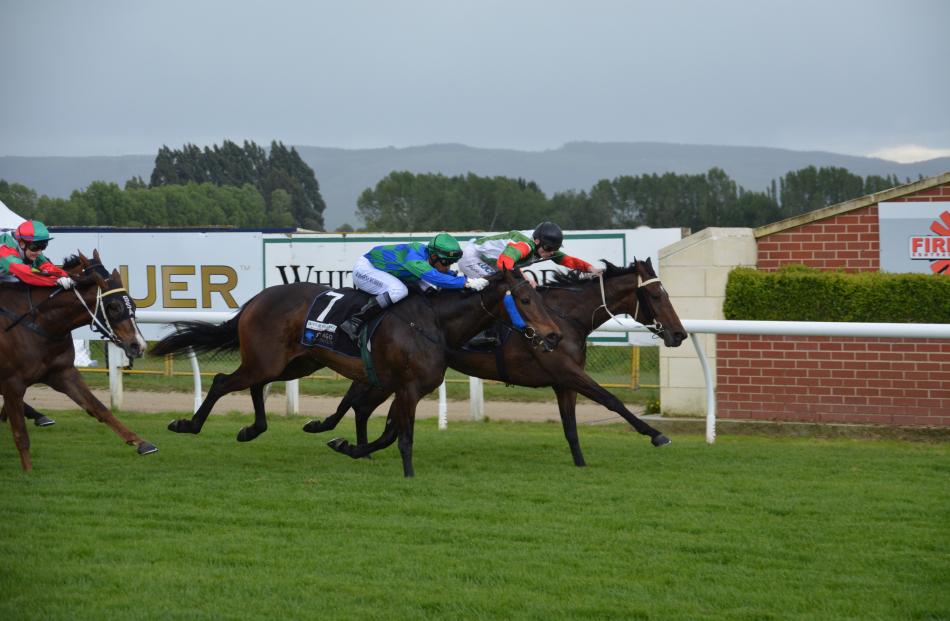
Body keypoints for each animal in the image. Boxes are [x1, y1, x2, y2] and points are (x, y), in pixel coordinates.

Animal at [0, 249, 156, 468]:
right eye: (113, 306)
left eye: (132, 303)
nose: (138, 345)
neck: (40, 321)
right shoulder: (12, 382)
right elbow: (21, 435)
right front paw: (28, 471)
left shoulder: (62, 372)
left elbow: (99, 408)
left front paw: (141, 443)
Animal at [150, 268, 560, 478]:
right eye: (525, 299)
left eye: (543, 298)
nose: (554, 334)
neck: (432, 323)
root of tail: (255, 300)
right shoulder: (408, 388)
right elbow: (400, 437)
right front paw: (407, 474)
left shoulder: (401, 387)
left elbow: (386, 432)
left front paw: (348, 445)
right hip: (268, 361)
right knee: (222, 382)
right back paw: (188, 424)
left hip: (294, 362)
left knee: (257, 386)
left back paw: (252, 429)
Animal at [308, 256, 688, 464]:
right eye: (657, 294)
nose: (679, 334)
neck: (565, 317)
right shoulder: (565, 371)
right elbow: (611, 400)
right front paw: (656, 434)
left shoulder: (563, 382)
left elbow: (571, 429)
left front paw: (581, 464)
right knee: (359, 402)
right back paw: (331, 431)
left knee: (363, 405)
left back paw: (352, 443)